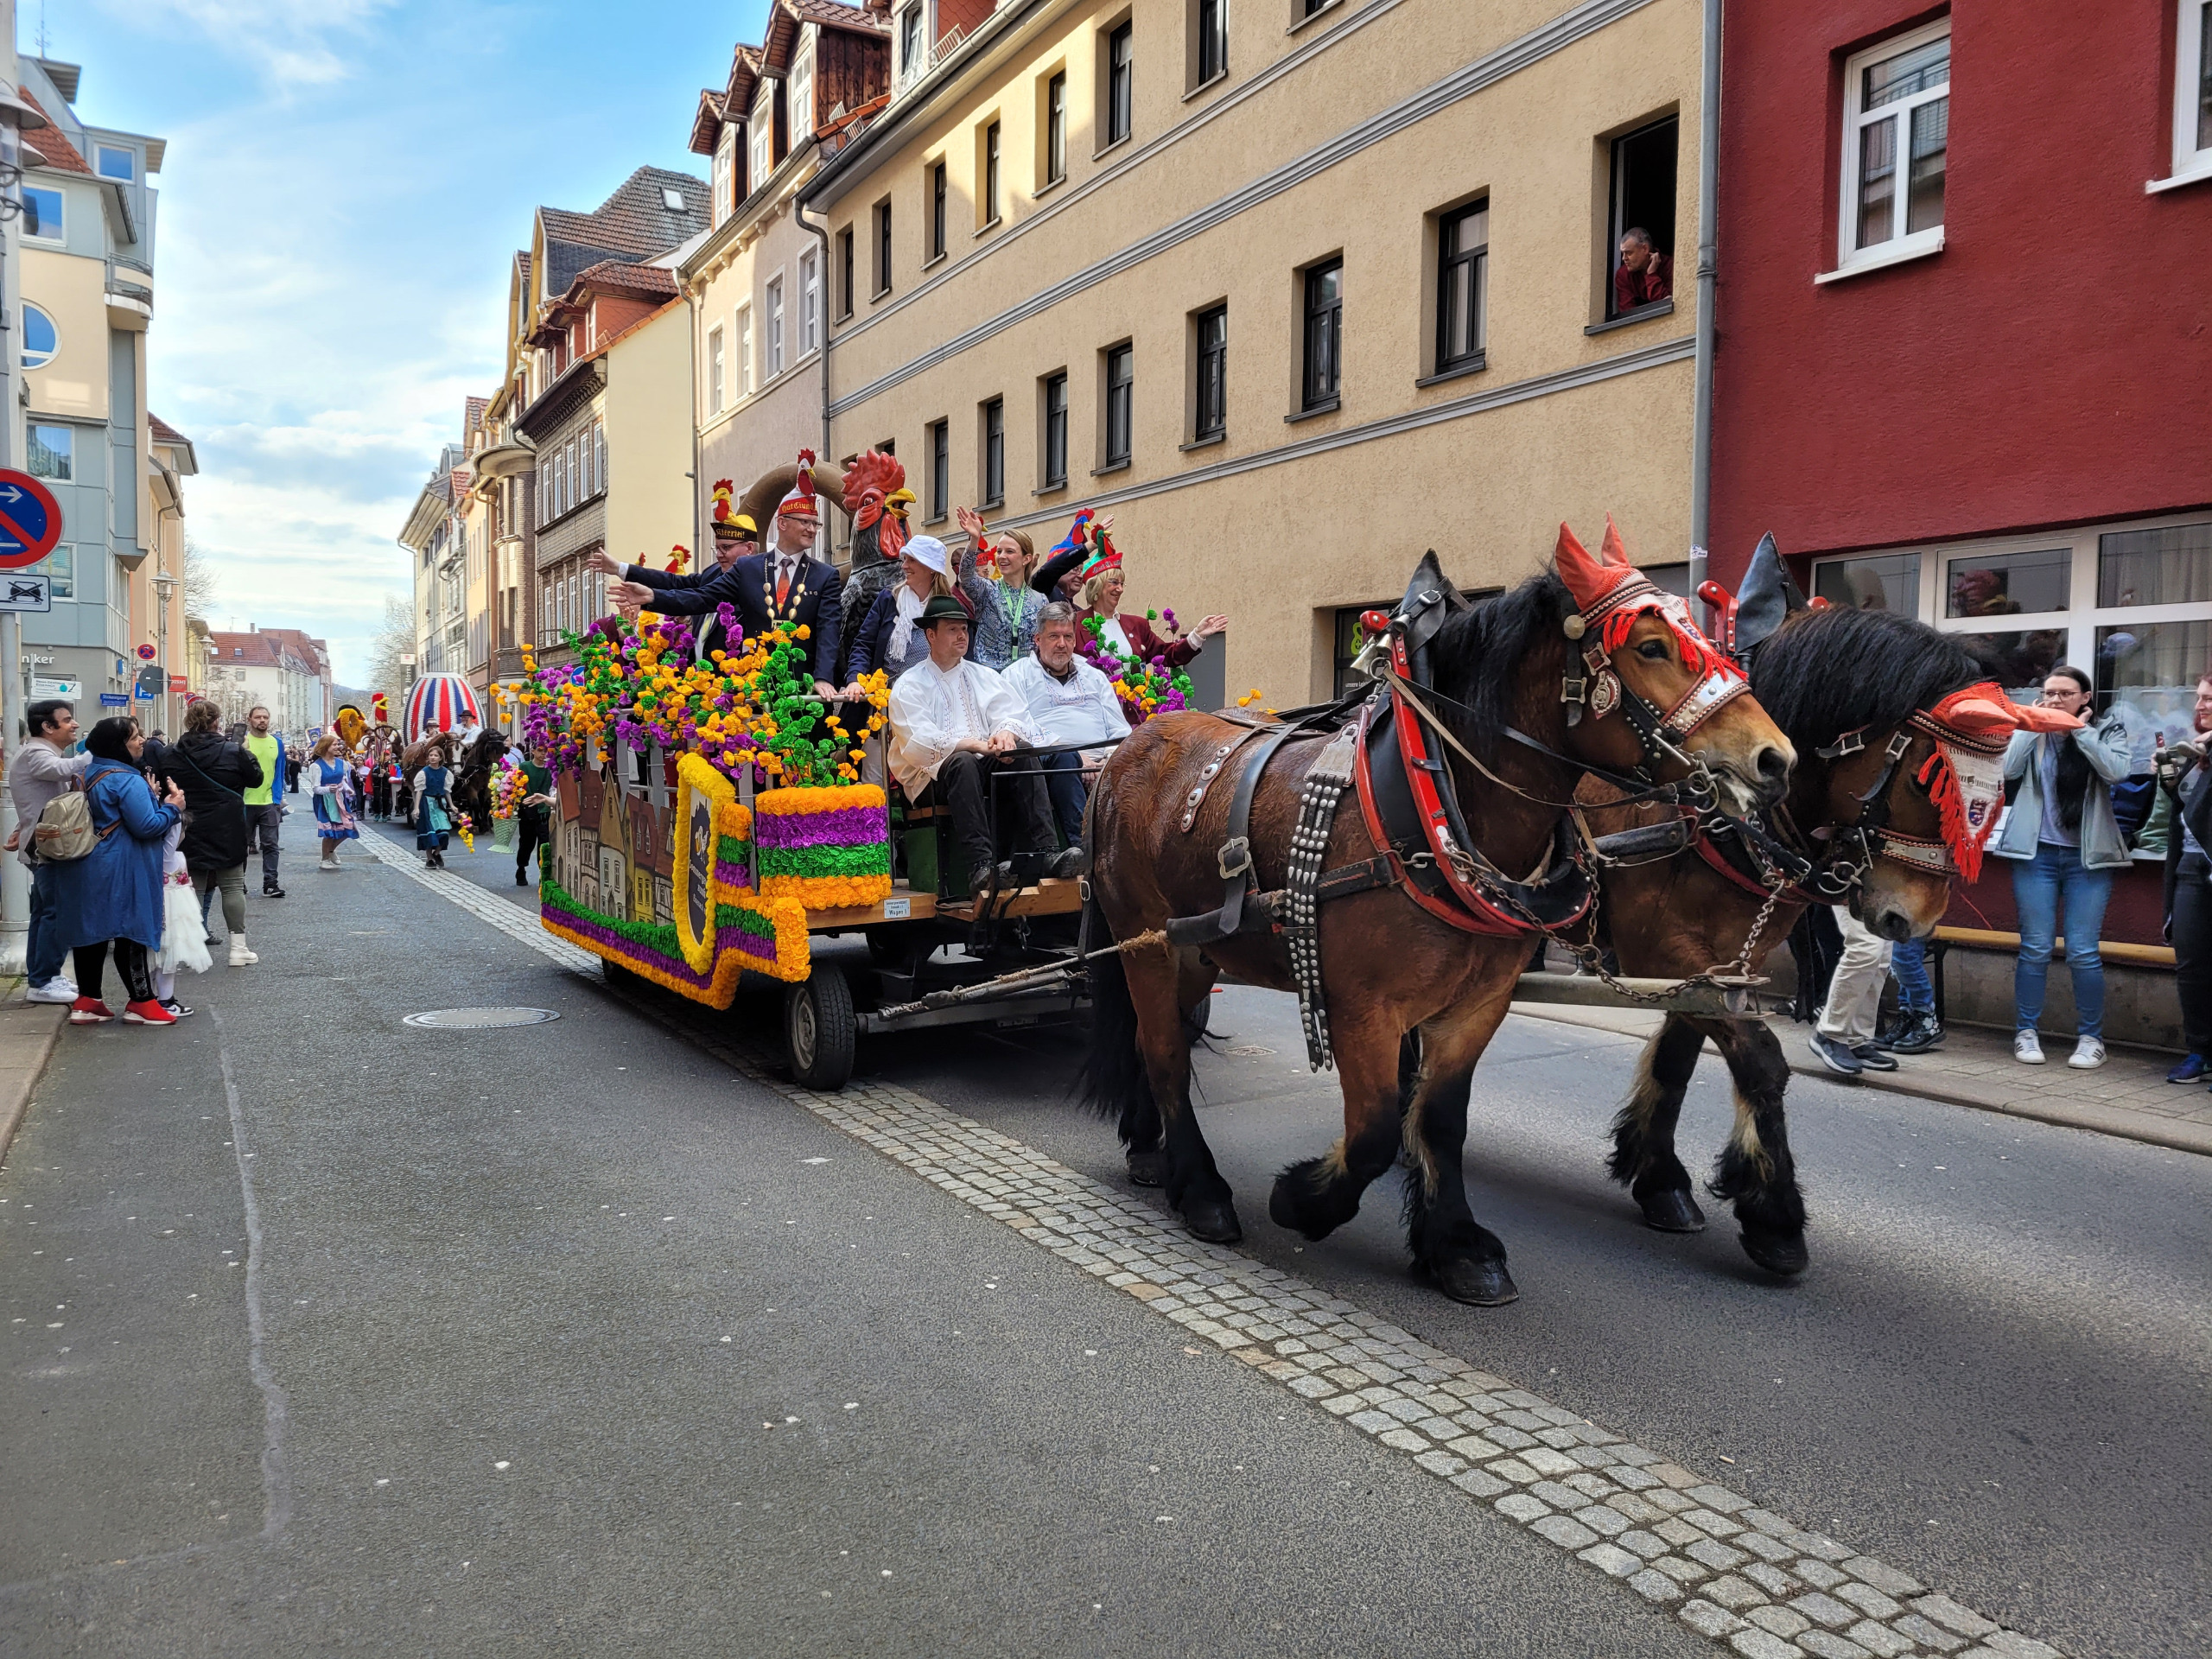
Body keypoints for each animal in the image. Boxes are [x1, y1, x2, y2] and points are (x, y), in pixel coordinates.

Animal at [1084, 539, 1796, 1309]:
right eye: (1652, 646)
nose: (1774, 758)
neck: (1439, 803)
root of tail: (1128, 749)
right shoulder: (1363, 1010)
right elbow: (1371, 1131)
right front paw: (1302, 1200)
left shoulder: (1477, 1005)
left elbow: (1441, 1118)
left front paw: (1455, 1247)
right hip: (1146, 945)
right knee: (1165, 1051)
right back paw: (1202, 1189)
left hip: (1195, 952)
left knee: (1160, 1041)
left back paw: (1150, 1149)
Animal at [1583, 606, 1981, 1282]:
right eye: (1924, 783)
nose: (1916, 919)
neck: (1723, 818)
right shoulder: (1656, 951)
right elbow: (1761, 1057)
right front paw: (1774, 1214)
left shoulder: (1712, 963)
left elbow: (1676, 1062)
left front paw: (1660, 1181)